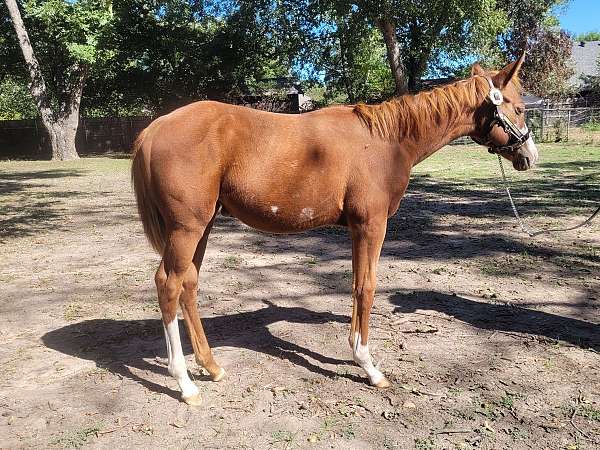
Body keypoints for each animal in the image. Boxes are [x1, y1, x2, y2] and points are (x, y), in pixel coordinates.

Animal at [132, 55, 540, 404]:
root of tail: (154, 128)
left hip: (202, 226)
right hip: (186, 229)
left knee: (188, 284)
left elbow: (358, 286)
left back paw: (211, 366)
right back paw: (185, 384)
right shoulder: (371, 225)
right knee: (168, 284)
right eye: (519, 108)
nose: (530, 156)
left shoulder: (358, 228)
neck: (386, 141)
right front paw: (368, 366)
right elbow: (366, 287)